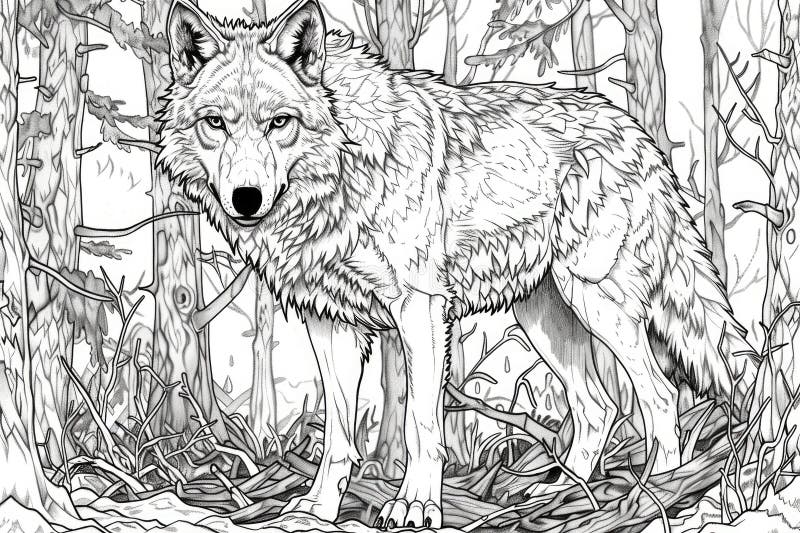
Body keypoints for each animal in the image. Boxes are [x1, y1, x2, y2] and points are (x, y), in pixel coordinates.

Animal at [159, 0, 757, 528]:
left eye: (279, 122)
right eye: (216, 123)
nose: (246, 199)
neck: (342, 172)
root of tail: (641, 136)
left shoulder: (421, 310)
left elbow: (422, 423)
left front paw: (417, 507)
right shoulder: (330, 322)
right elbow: (338, 436)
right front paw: (315, 510)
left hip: (597, 303)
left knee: (660, 396)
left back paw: (654, 496)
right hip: (544, 318)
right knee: (598, 407)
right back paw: (562, 496)